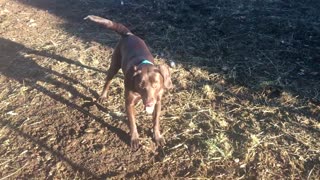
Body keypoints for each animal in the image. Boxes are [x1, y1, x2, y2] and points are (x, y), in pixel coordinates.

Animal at [84, 15, 171, 150]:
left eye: (156, 84)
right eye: (140, 85)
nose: (149, 103)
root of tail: (128, 34)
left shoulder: (158, 101)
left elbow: (156, 121)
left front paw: (157, 137)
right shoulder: (129, 103)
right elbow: (132, 122)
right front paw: (134, 139)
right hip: (114, 65)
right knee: (108, 80)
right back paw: (103, 96)